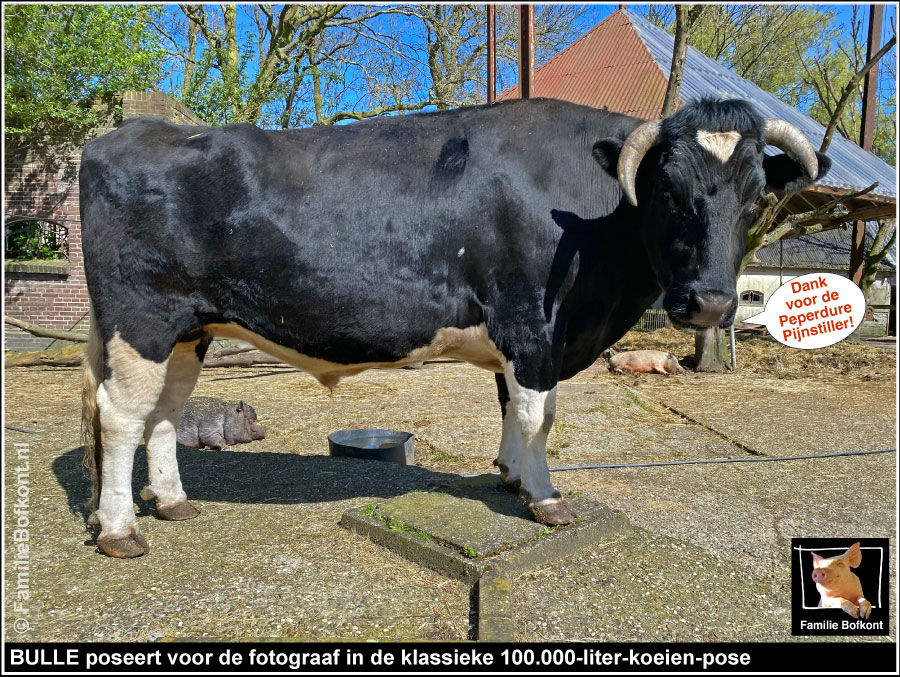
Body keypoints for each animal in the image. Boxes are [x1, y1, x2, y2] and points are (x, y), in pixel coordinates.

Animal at [79, 97, 828, 556]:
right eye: (671, 194)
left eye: (755, 196)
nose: (708, 304)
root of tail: (122, 133)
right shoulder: (531, 321)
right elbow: (539, 413)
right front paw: (546, 497)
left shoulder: (522, 336)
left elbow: (511, 407)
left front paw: (510, 475)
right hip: (141, 320)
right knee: (121, 415)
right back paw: (119, 529)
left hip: (187, 329)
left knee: (165, 413)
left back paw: (172, 502)